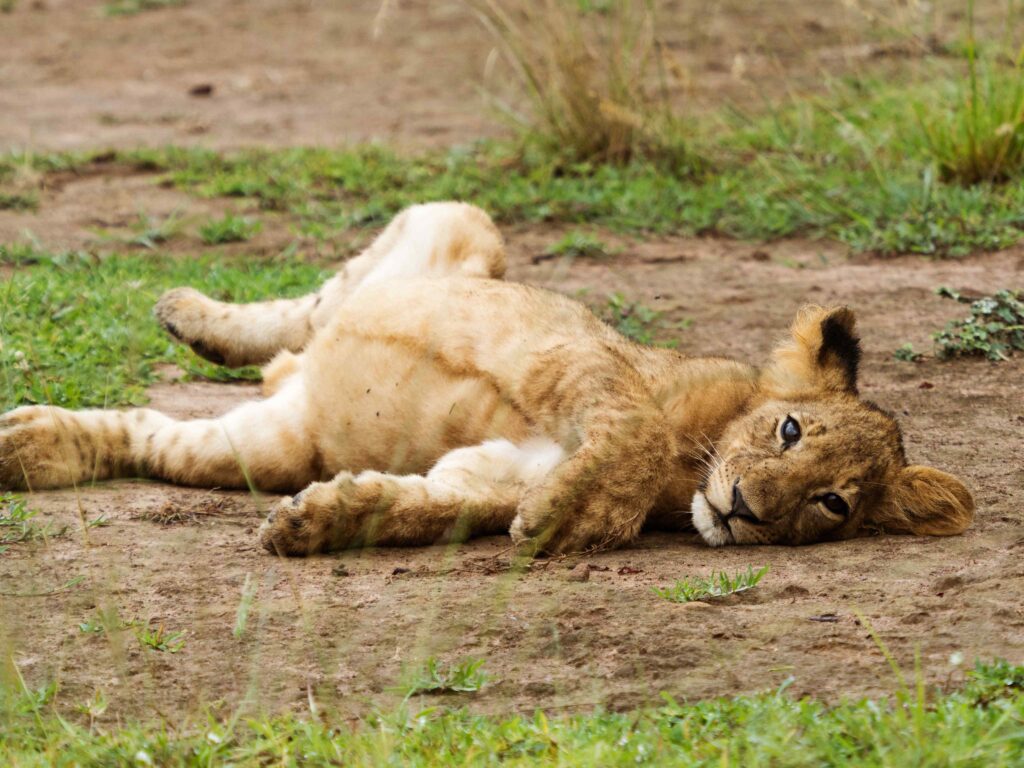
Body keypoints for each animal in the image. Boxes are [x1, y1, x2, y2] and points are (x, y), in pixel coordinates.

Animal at [0, 202, 974, 556]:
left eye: (832, 505)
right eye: (790, 430)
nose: (744, 512)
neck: (689, 476)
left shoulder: (490, 468)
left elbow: (430, 505)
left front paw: (322, 521)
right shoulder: (581, 360)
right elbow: (631, 432)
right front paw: (561, 524)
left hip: (266, 443)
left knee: (149, 433)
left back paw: (32, 444)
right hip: (462, 226)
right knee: (313, 307)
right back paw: (189, 312)